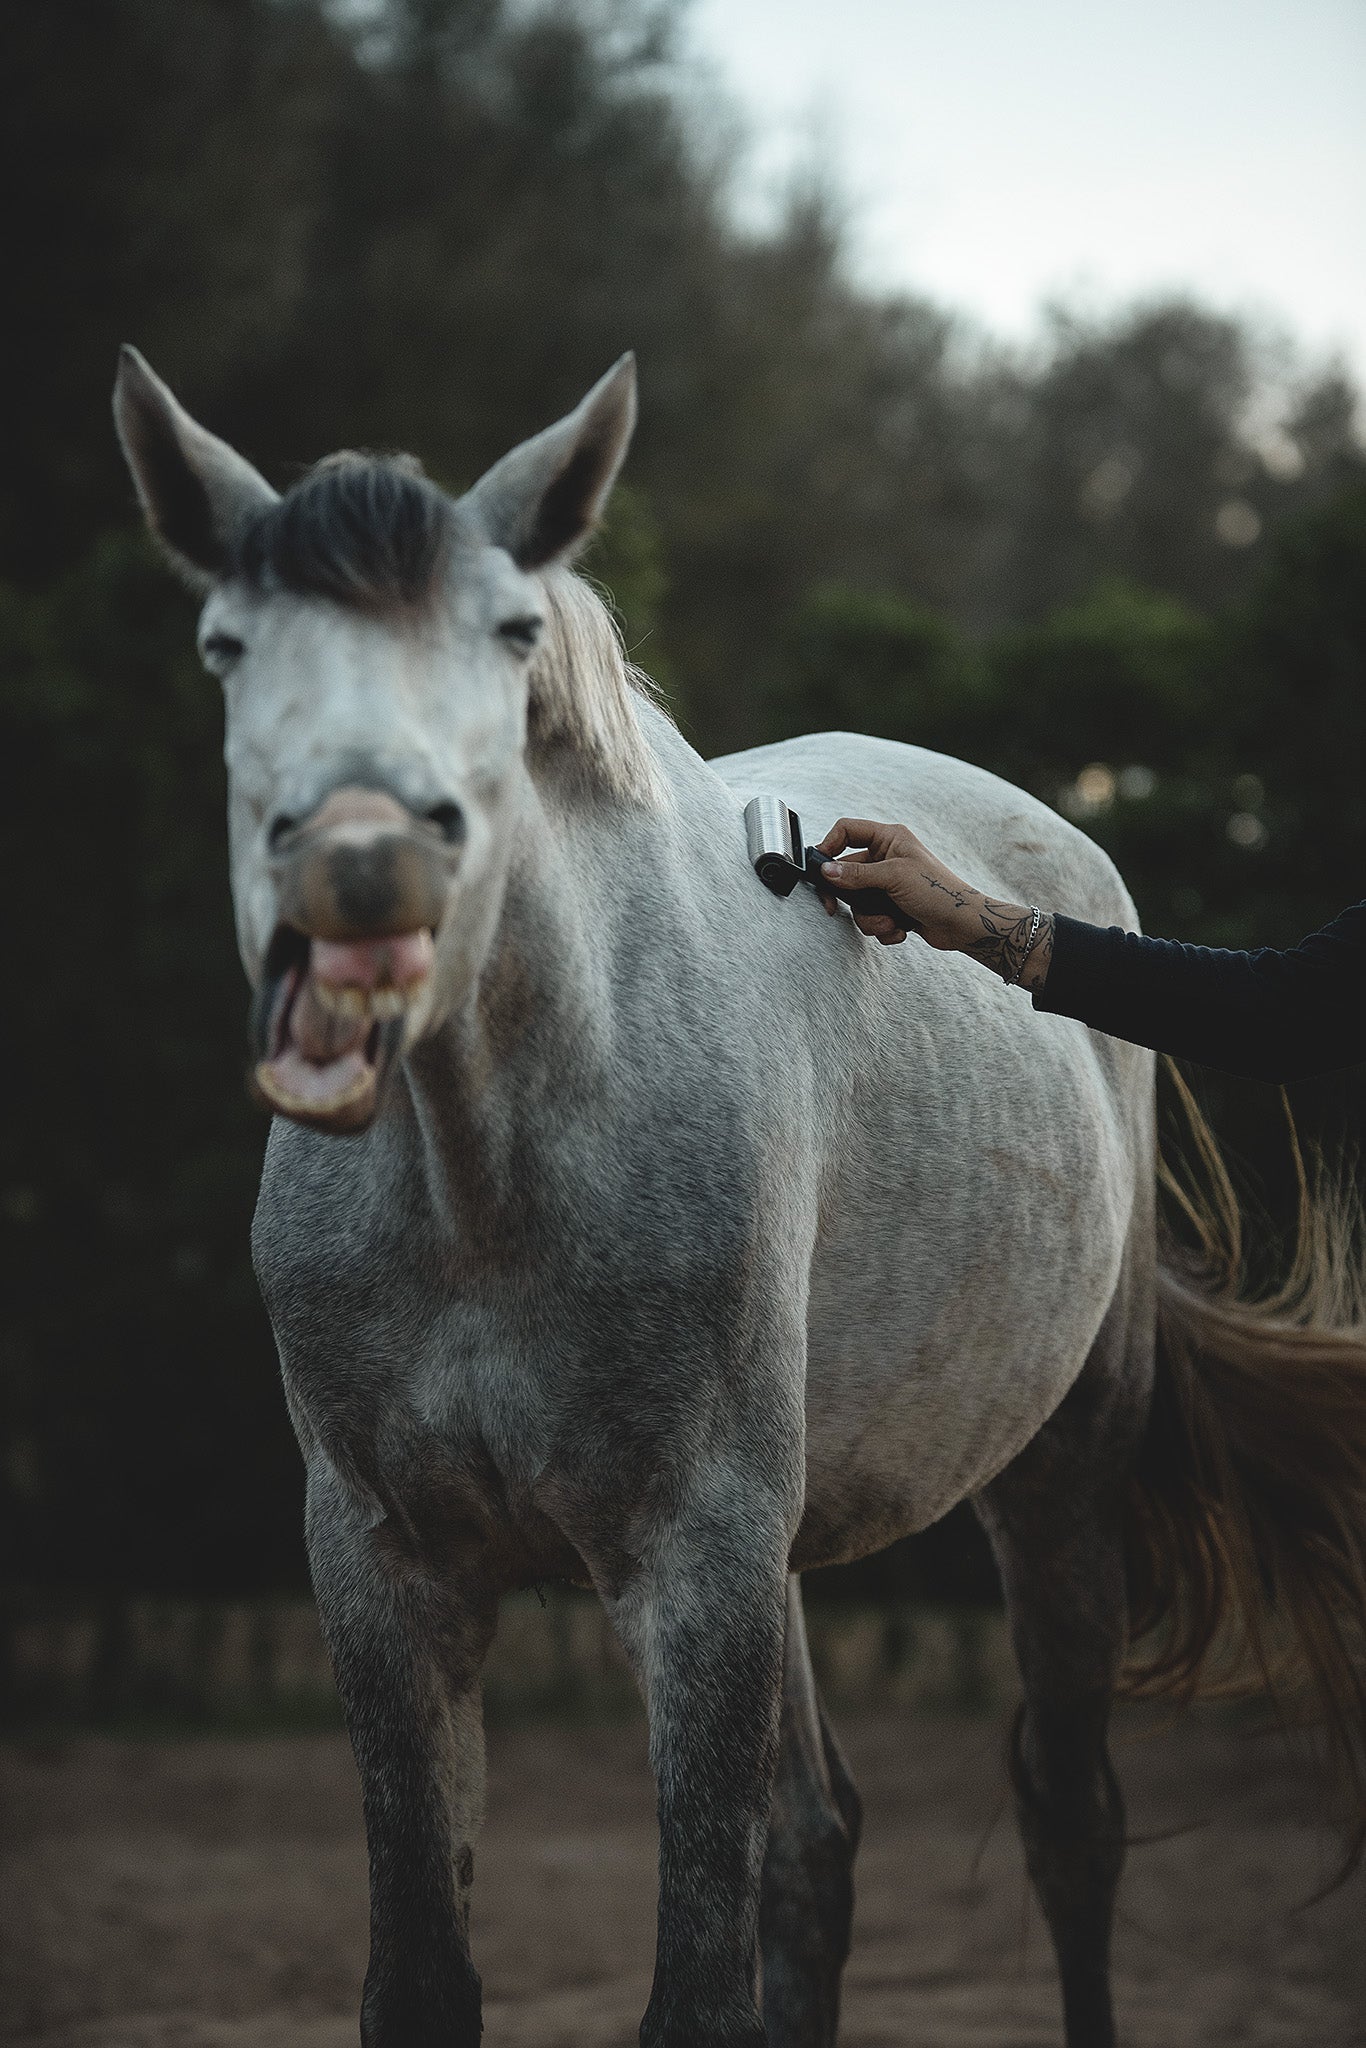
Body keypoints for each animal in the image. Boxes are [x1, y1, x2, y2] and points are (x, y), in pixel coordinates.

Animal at [114, 352, 1366, 2048]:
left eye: (507, 634)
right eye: (227, 643)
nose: (365, 867)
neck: (490, 1182)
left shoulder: (696, 1570)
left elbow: (700, 1982)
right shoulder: (385, 1572)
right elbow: (426, 1978)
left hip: (1058, 1478)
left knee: (1069, 1824)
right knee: (822, 1850)